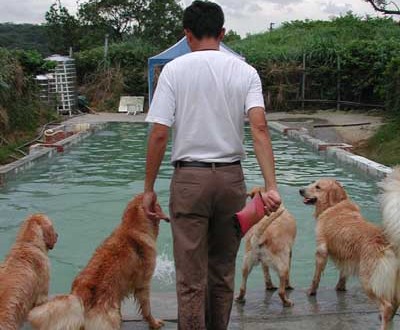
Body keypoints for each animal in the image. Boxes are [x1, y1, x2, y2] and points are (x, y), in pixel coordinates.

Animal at [302, 169, 400, 330]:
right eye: (313, 183)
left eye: (318, 187)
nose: (300, 190)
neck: (335, 204)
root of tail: (390, 242)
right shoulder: (347, 256)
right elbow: (343, 273)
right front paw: (340, 288)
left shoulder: (321, 251)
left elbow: (316, 277)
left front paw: (311, 292)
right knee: (395, 303)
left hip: (368, 281)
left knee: (387, 306)